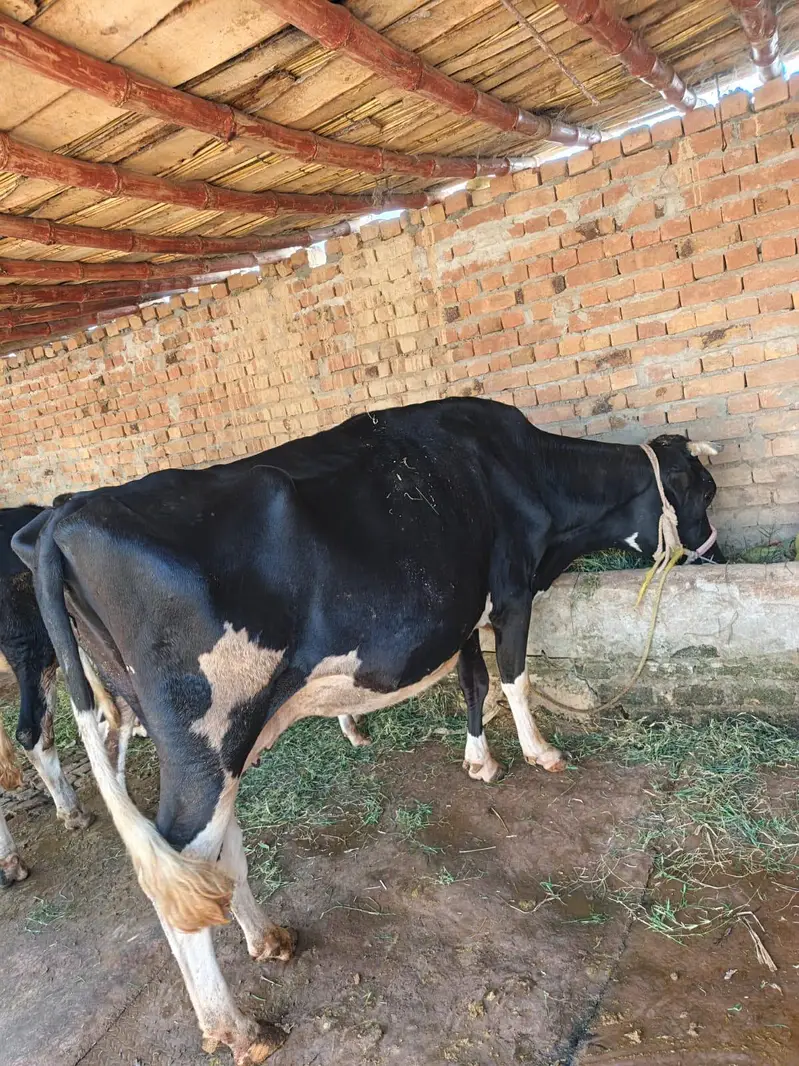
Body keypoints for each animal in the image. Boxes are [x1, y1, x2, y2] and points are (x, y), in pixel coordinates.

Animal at [13, 398, 723, 1063]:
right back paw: (240, 1030)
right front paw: (539, 752)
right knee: (179, 872)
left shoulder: (461, 612)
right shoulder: (512, 588)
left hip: (197, 737)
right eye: (706, 490)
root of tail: (66, 514)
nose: (715, 551)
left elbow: (474, 683)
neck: (523, 471)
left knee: (213, 854)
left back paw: (269, 939)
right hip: (206, 732)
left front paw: (480, 761)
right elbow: (514, 676)